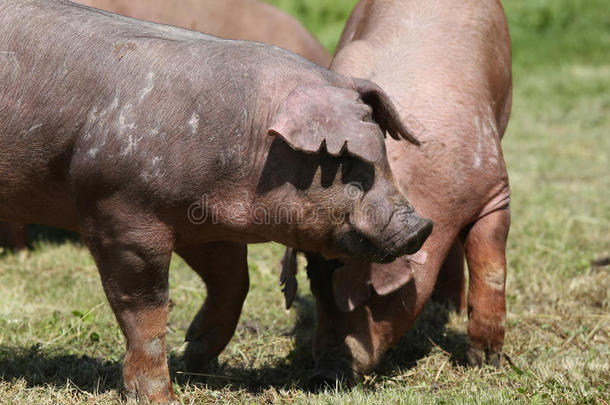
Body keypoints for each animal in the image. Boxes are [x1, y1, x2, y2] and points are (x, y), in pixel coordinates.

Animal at [282, 0, 510, 386]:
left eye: (369, 294)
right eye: (314, 284)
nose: (324, 374)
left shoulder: (494, 185)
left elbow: (489, 264)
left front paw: (484, 362)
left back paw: (451, 309)